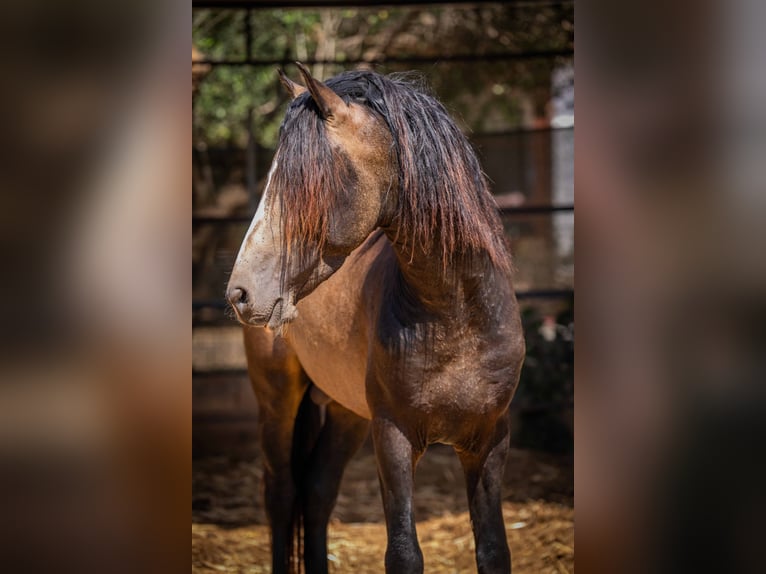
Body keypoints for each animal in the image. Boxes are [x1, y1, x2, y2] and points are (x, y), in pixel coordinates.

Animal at [226, 64, 528, 574]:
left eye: (307, 185)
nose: (240, 293)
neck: (455, 315)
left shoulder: (490, 442)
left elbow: (493, 550)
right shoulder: (393, 438)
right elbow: (403, 553)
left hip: (346, 412)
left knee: (317, 491)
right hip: (278, 400)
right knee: (282, 494)